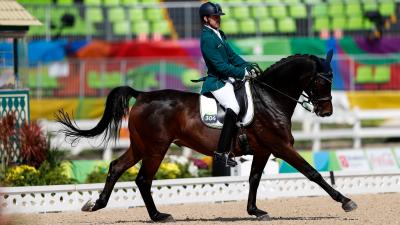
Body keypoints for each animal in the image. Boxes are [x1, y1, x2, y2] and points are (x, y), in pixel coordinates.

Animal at [55, 51, 356, 222]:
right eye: (322, 81)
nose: (327, 111)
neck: (270, 98)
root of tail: (141, 95)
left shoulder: (263, 150)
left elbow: (254, 179)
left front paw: (255, 211)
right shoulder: (280, 146)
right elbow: (312, 173)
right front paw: (345, 201)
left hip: (141, 146)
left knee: (116, 167)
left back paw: (96, 204)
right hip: (156, 148)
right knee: (142, 179)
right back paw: (158, 216)